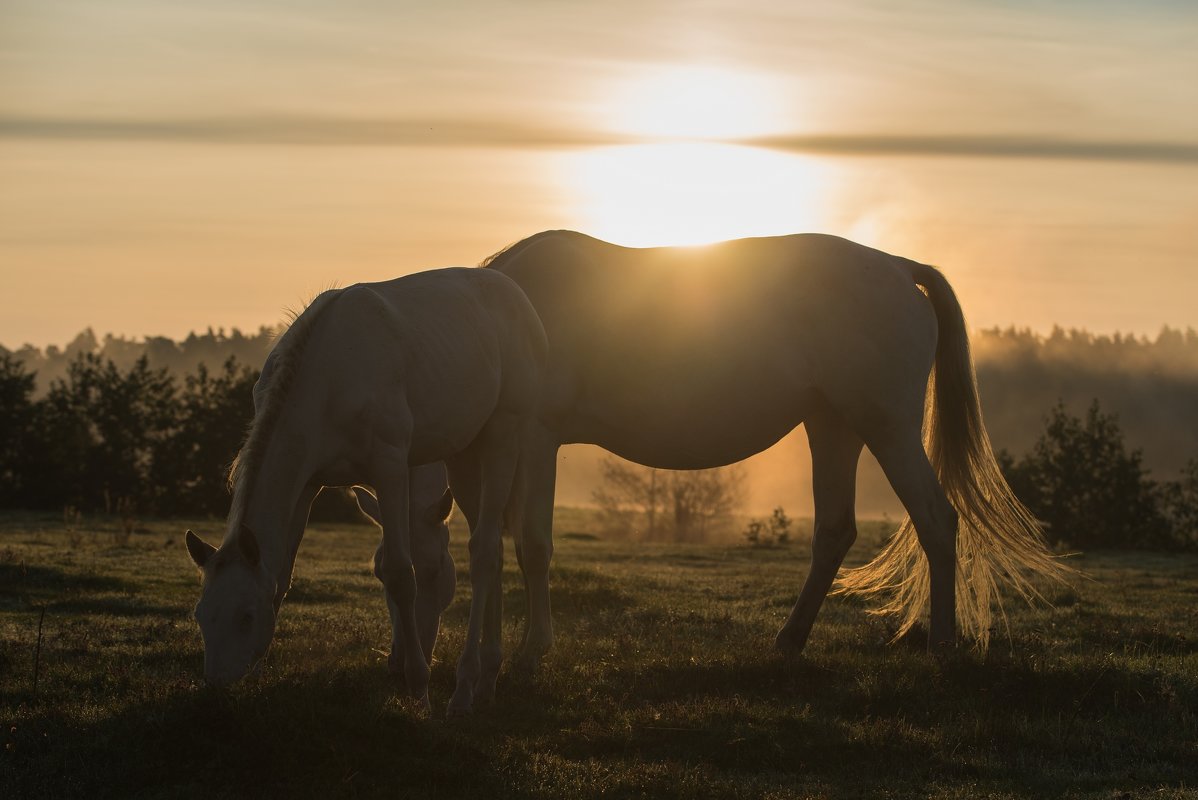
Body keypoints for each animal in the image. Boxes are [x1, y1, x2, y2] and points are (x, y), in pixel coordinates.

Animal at [182, 268, 548, 713]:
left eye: (246, 616)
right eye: (201, 614)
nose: (216, 685)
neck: (327, 378)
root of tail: (514, 294)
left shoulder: (390, 467)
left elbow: (401, 574)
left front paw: (419, 687)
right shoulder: (308, 484)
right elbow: (282, 574)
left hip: (504, 435)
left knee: (483, 552)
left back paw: (463, 691)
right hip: (463, 455)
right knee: (491, 550)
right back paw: (487, 680)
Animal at [481, 229, 1073, 656]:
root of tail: (900, 266)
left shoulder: (539, 436)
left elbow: (534, 543)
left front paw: (532, 650)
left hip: (887, 429)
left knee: (936, 519)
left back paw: (944, 646)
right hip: (833, 428)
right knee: (835, 531)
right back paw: (789, 641)